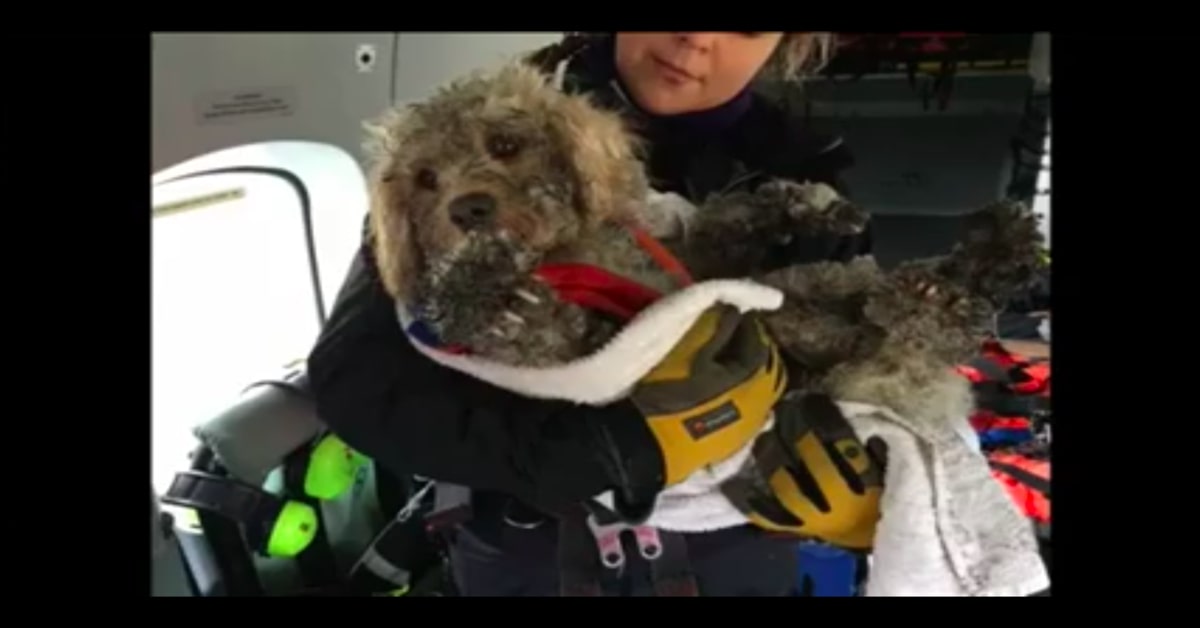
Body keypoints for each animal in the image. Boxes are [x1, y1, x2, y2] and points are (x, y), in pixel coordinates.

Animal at [360, 62, 1046, 427]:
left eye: (504, 144)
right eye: (425, 180)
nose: (467, 210)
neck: (572, 256)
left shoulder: (692, 264)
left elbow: (734, 220)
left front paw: (808, 204)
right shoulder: (587, 356)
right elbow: (540, 331)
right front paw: (486, 290)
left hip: (821, 291)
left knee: (917, 310)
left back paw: (994, 252)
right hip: (837, 349)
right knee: (915, 328)